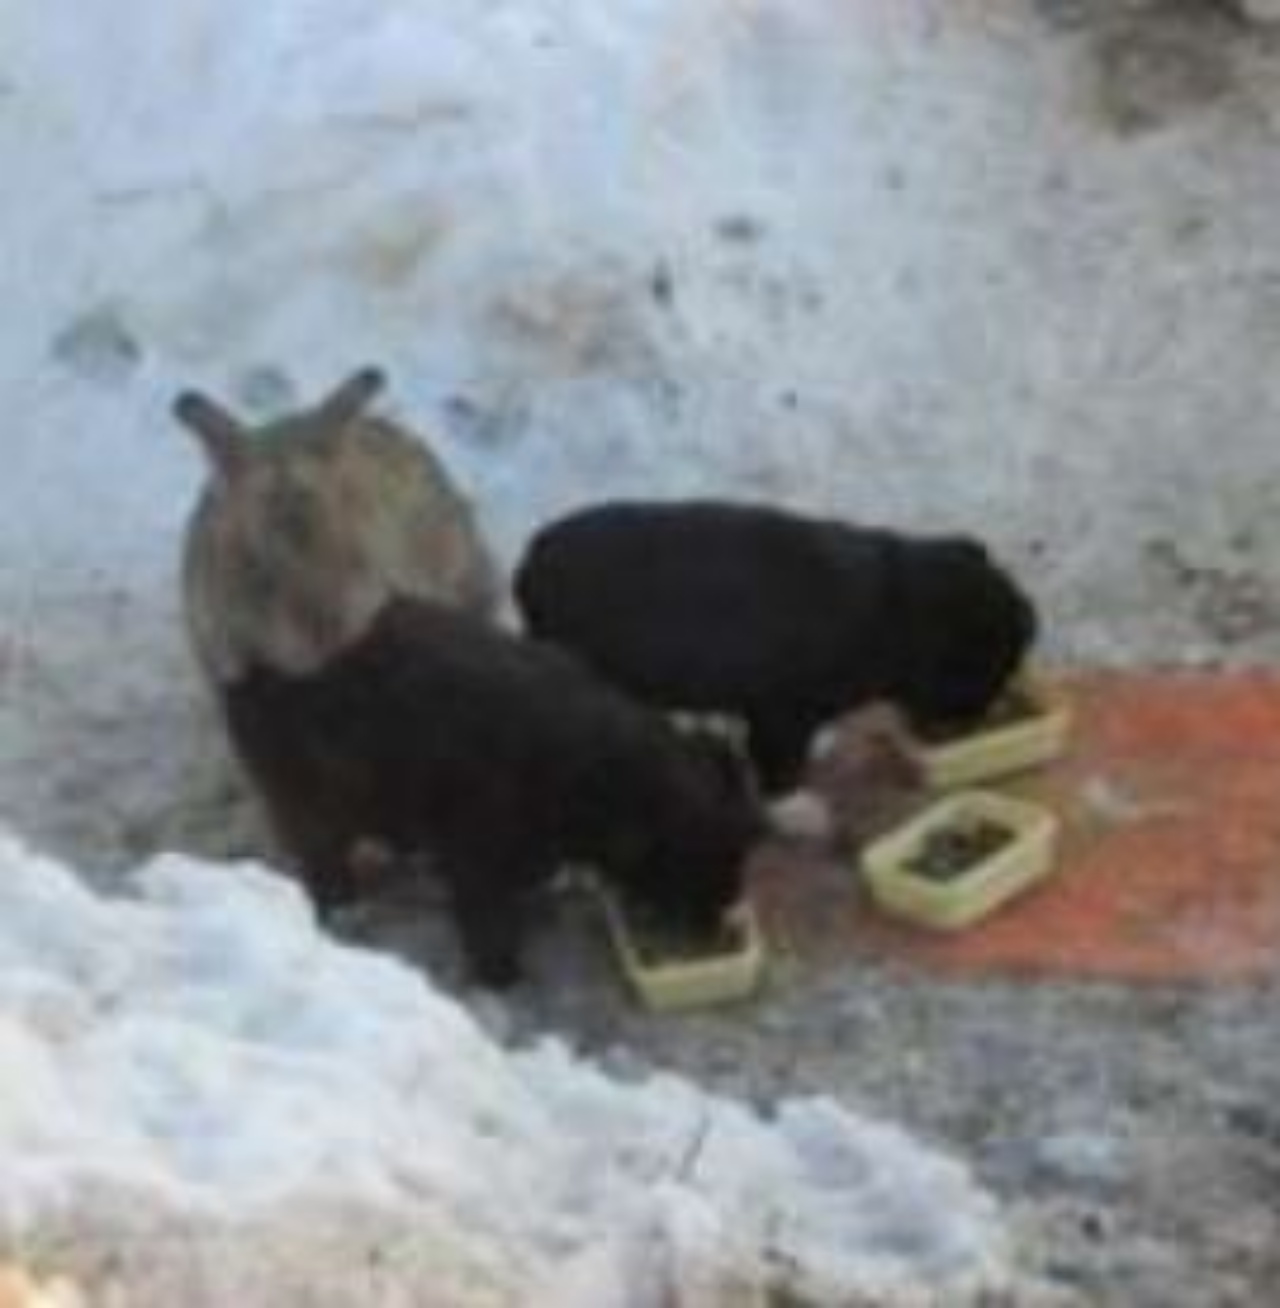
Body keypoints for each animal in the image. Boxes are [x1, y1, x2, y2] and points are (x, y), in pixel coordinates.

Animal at [222, 599, 758, 983]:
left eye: (736, 857)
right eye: (694, 860)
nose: (718, 926)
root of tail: (249, 680)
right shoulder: (474, 850)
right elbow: (485, 915)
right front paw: (501, 975)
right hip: (311, 808)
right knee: (322, 864)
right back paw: (342, 910)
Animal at [515, 497, 1035, 790]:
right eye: (987, 667)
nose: (976, 718)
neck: (898, 609)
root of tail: (527, 567)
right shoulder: (782, 714)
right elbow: (780, 764)